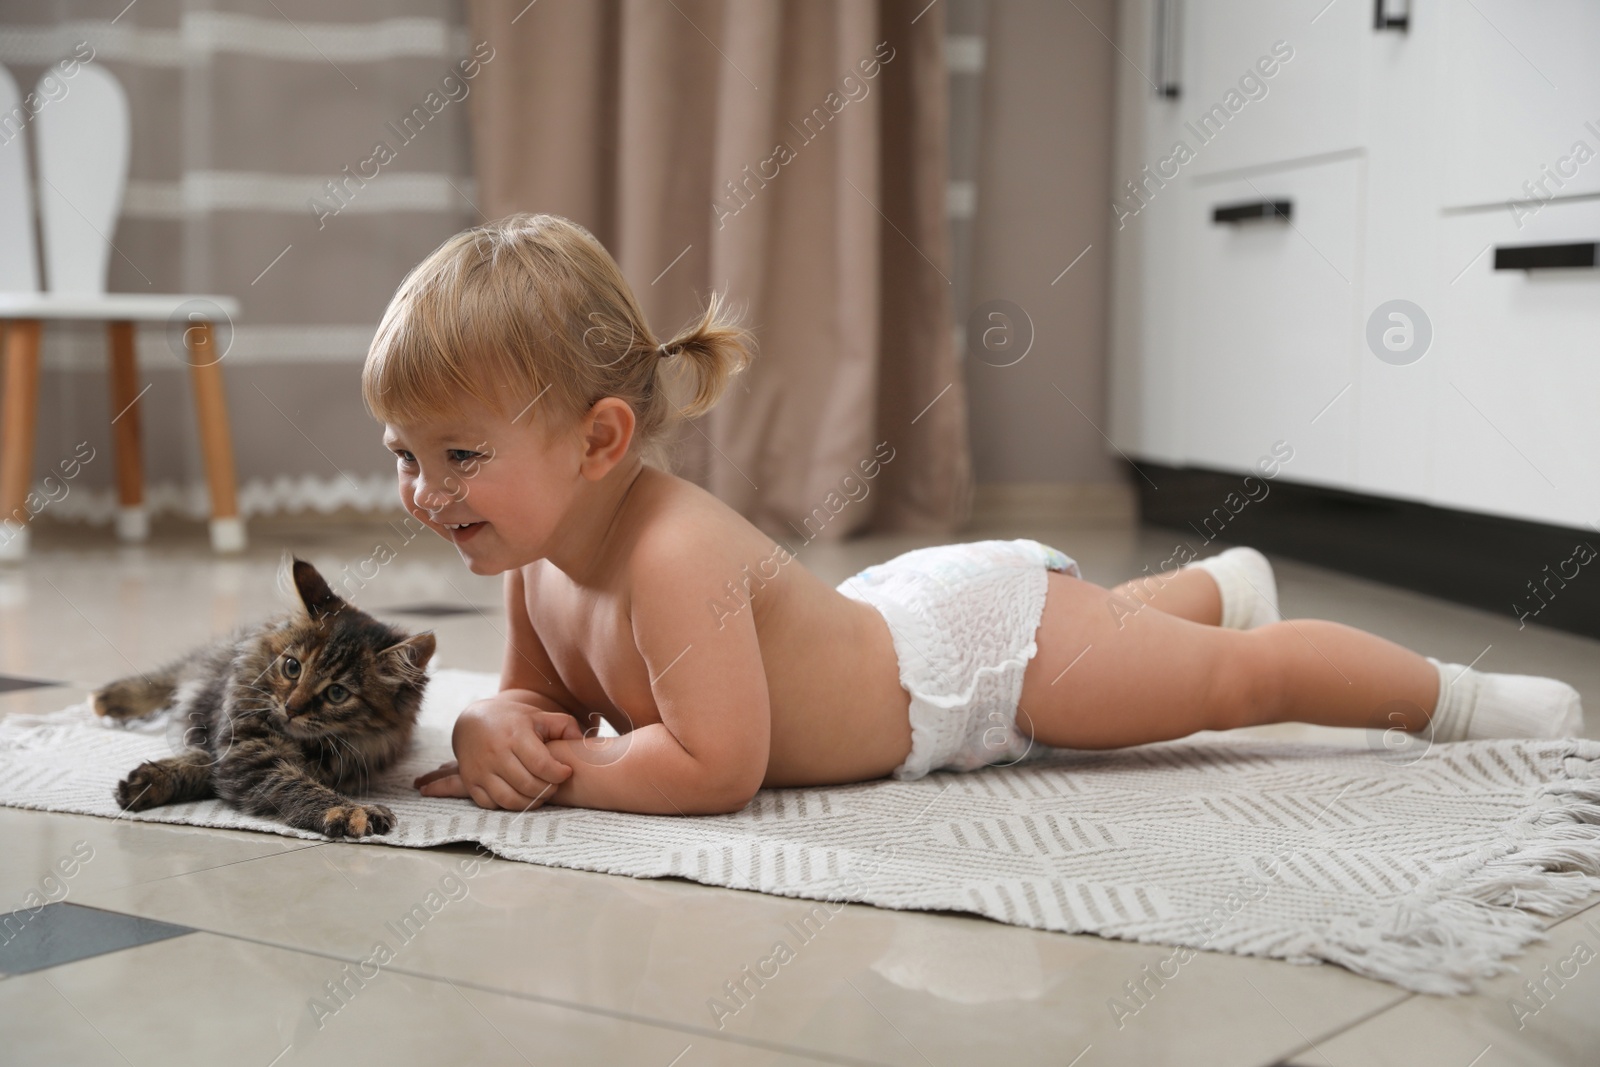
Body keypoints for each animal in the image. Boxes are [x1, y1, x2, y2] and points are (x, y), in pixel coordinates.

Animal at [92, 556, 432, 838]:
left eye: (337, 693)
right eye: (292, 667)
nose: (291, 708)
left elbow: (207, 766)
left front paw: (148, 781)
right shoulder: (248, 747)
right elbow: (293, 783)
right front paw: (351, 812)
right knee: (174, 676)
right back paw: (107, 699)